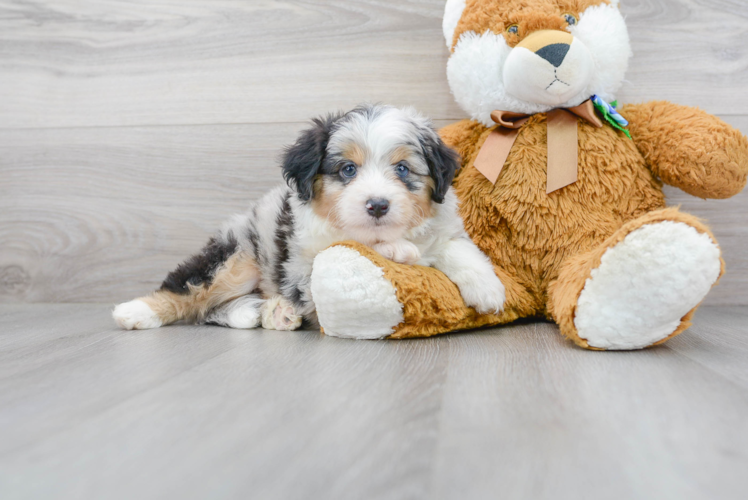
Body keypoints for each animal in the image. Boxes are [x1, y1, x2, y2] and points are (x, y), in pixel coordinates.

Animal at [111, 104, 506, 332]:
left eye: (403, 169)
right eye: (348, 169)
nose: (377, 205)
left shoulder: (444, 228)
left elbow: (458, 249)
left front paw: (487, 289)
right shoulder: (304, 263)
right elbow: (349, 247)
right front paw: (397, 251)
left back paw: (267, 312)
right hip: (234, 256)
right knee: (190, 292)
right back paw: (134, 312)